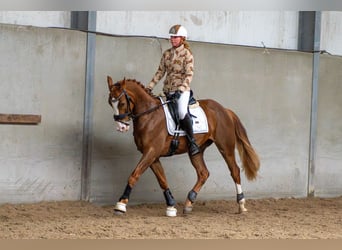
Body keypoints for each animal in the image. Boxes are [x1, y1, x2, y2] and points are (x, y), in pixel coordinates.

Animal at [107, 76, 260, 217]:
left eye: (121, 102)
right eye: (110, 103)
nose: (121, 127)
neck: (149, 115)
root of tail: (224, 110)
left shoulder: (151, 152)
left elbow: (134, 175)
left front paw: (121, 205)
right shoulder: (152, 156)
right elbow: (162, 180)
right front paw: (171, 206)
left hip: (225, 147)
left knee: (234, 170)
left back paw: (241, 204)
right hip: (196, 151)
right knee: (203, 173)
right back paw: (188, 203)